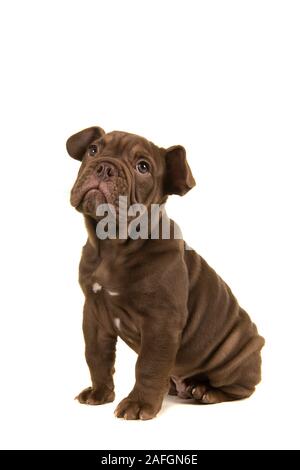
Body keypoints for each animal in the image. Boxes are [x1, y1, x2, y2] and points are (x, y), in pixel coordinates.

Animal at [66, 126, 264, 420]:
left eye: (143, 167)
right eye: (93, 149)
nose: (104, 167)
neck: (112, 244)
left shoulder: (161, 321)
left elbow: (148, 365)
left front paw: (139, 405)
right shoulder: (94, 314)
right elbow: (97, 355)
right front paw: (100, 393)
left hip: (236, 354)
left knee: (240, 388)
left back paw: (206, 391)